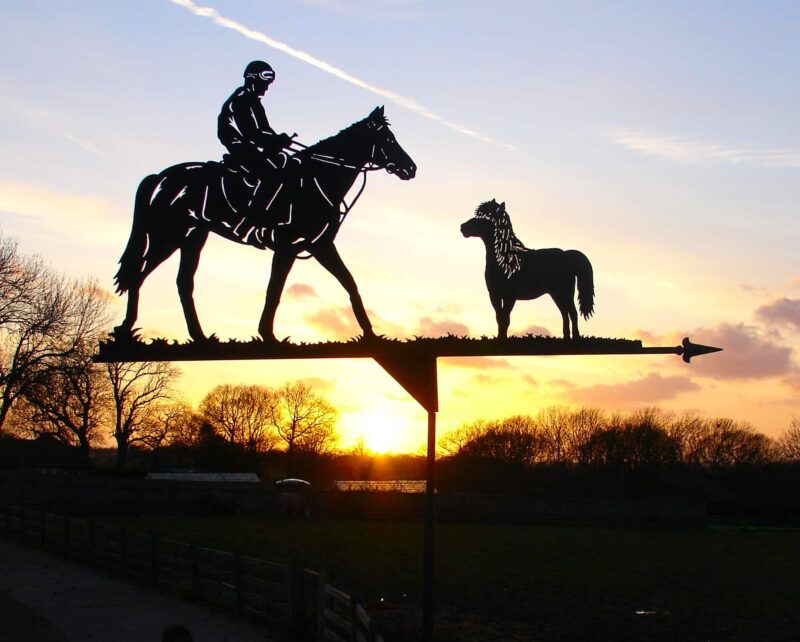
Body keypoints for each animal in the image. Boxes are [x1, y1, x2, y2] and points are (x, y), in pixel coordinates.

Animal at [115, 106, 416, 340]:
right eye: (388, 139)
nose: (410, 168)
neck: (318, 177)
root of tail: (160, 177)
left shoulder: (320, 245)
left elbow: (350, 283)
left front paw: (371, 334)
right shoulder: (288, 245)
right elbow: (275, 289)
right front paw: (267, 335)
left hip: (193, 236)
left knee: (182, 282)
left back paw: (199, 337)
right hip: (167, 236)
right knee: (138, 275)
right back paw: (126, 330)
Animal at [456, 200, 592, 340]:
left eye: (483, 217)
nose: (463, 227)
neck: (505, 260)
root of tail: (567, 255)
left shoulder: (510, 296)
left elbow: (505, 318)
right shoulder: (494, 295)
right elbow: (499, 317)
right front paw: (500, 336)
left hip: (565, 292)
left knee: (572, 312)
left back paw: (575, 336)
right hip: (557, 294)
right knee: (565, 313)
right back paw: (566, 336)